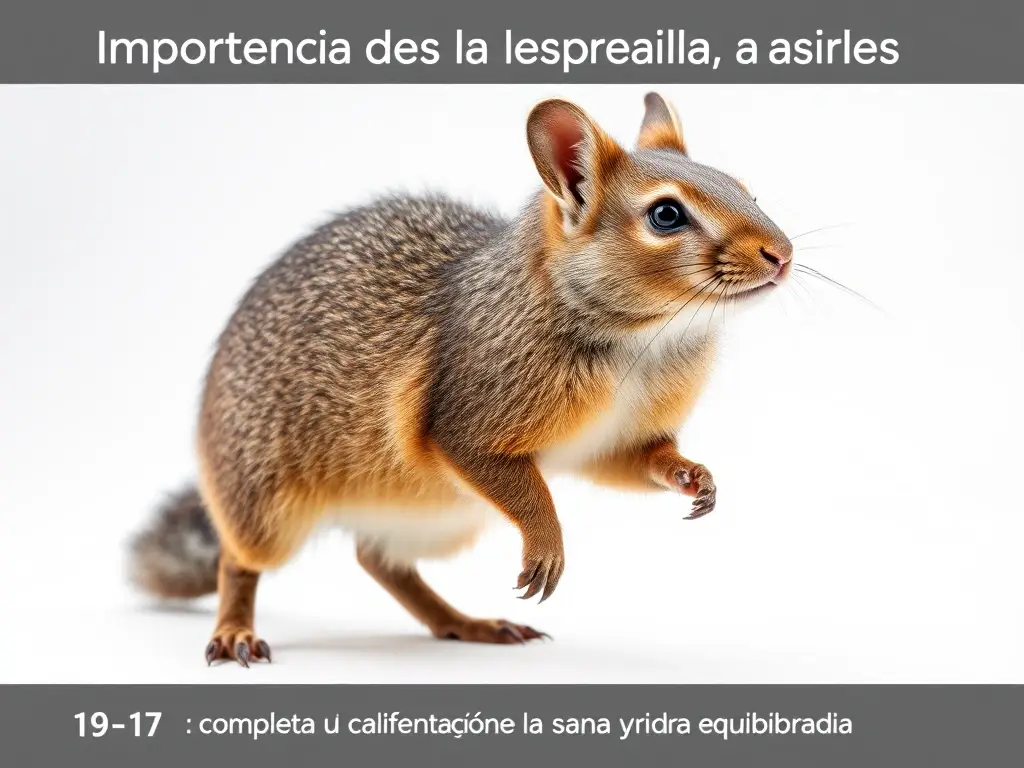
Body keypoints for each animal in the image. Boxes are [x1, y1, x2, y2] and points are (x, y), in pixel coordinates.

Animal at [129, 93, 793, 665]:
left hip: (437, 522)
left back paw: (463, 623)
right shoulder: (469, 414)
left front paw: (693, 475)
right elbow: (512, 479)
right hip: (266, 501)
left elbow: (639, 459)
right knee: (240, 562)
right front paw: (546, 539)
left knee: (379, 560)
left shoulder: (610, 442)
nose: (782, 254)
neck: (644, 342)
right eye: (665, 214)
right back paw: (235, 629)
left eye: (745, 189)